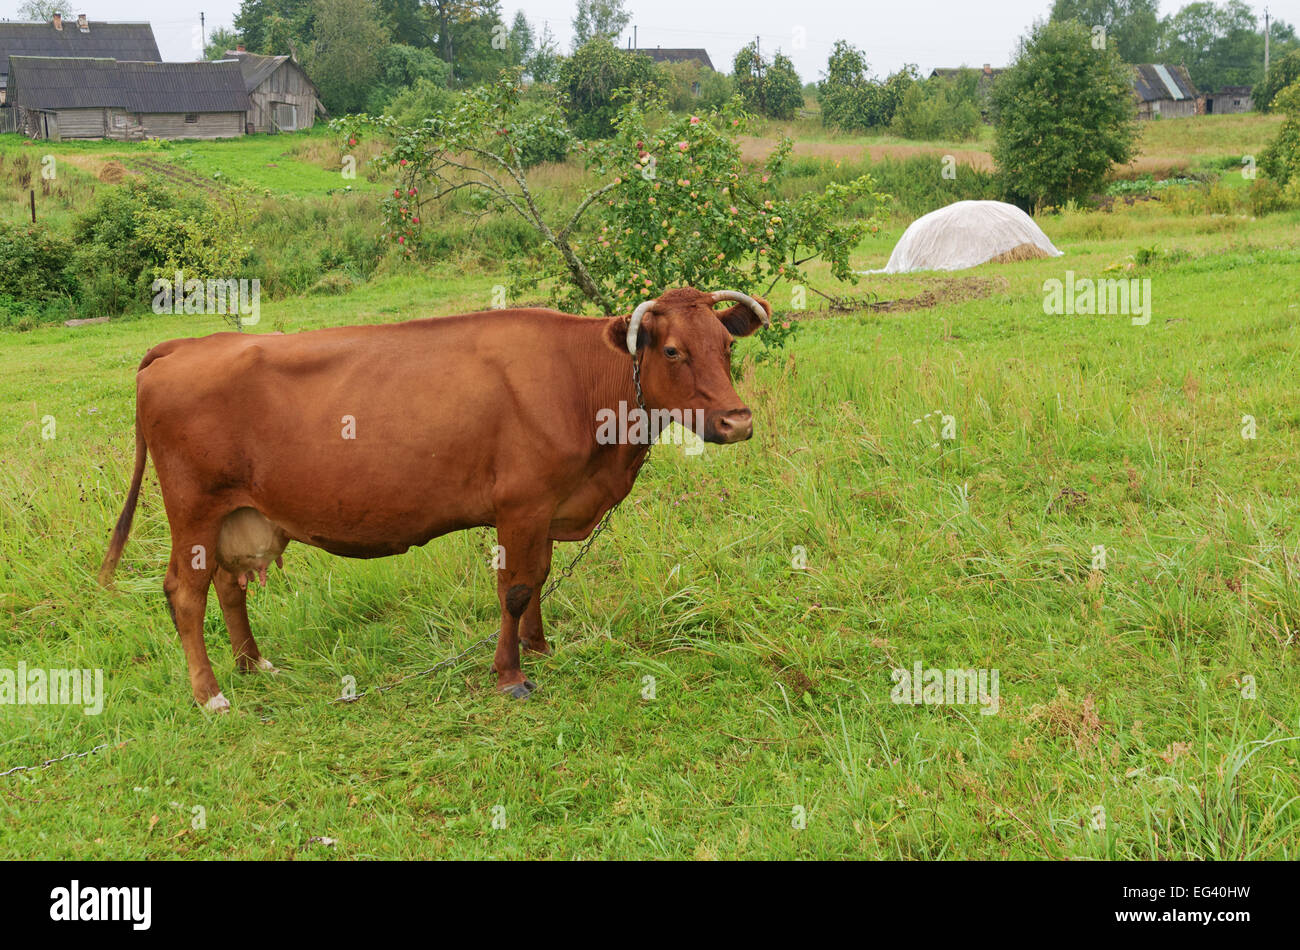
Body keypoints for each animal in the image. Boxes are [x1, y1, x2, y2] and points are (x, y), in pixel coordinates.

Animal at [98, 287, 772, 710]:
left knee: (228, 585)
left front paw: (540, 647)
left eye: (726, 346)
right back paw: (210, 694)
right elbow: (516, 587)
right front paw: (510, 676)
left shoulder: (546, 509)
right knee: (185, 593)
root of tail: (185, 345)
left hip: (236, 513)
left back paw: (251, 665)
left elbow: (540, 577)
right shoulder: (521, 505)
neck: (581, 381)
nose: (738, 422)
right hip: (193, 510)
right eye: (672, 350)